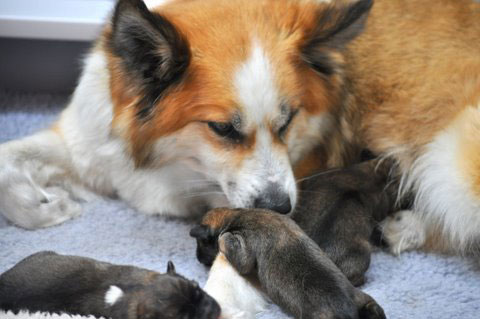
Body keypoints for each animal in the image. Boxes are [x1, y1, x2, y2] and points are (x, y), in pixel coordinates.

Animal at [0, 0, 480, 255]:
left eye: (289, 120)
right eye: (222, 129)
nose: (281, 207)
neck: (166, 161)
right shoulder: (89, 142)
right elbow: (8, 160)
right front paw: (47, 208)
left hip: (451, 163)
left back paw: (408, 227)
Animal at [191, 210, 386, 319]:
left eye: (201, 243)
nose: (198, 259)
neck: (234, 213)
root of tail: (348, 309)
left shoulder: (243, 252)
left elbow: (225, 238)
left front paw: (222, 238)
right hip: (365, 300)